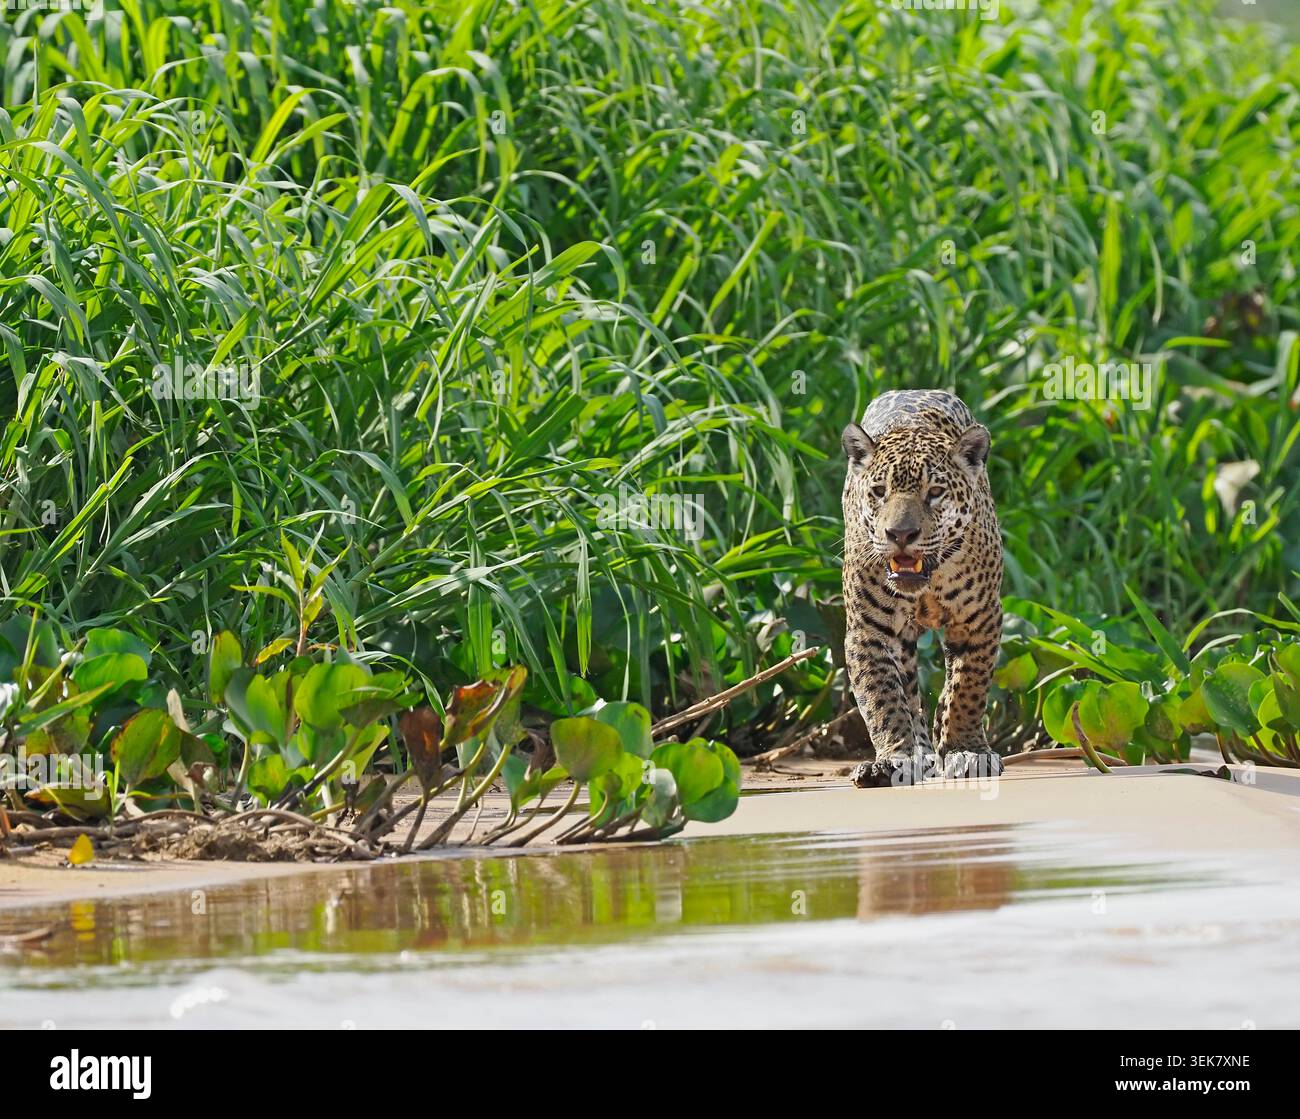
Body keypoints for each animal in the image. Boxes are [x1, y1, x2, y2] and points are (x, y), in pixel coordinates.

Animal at [840, 389, 1004, 788]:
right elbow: (881, 699)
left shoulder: (980, 620)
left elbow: (967, 688)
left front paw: (967, 751)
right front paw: (892, 760)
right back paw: (921, 754)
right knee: (910, 695)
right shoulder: (868, 631)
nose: (900, 534)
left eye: (935, 492)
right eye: (879, 491)